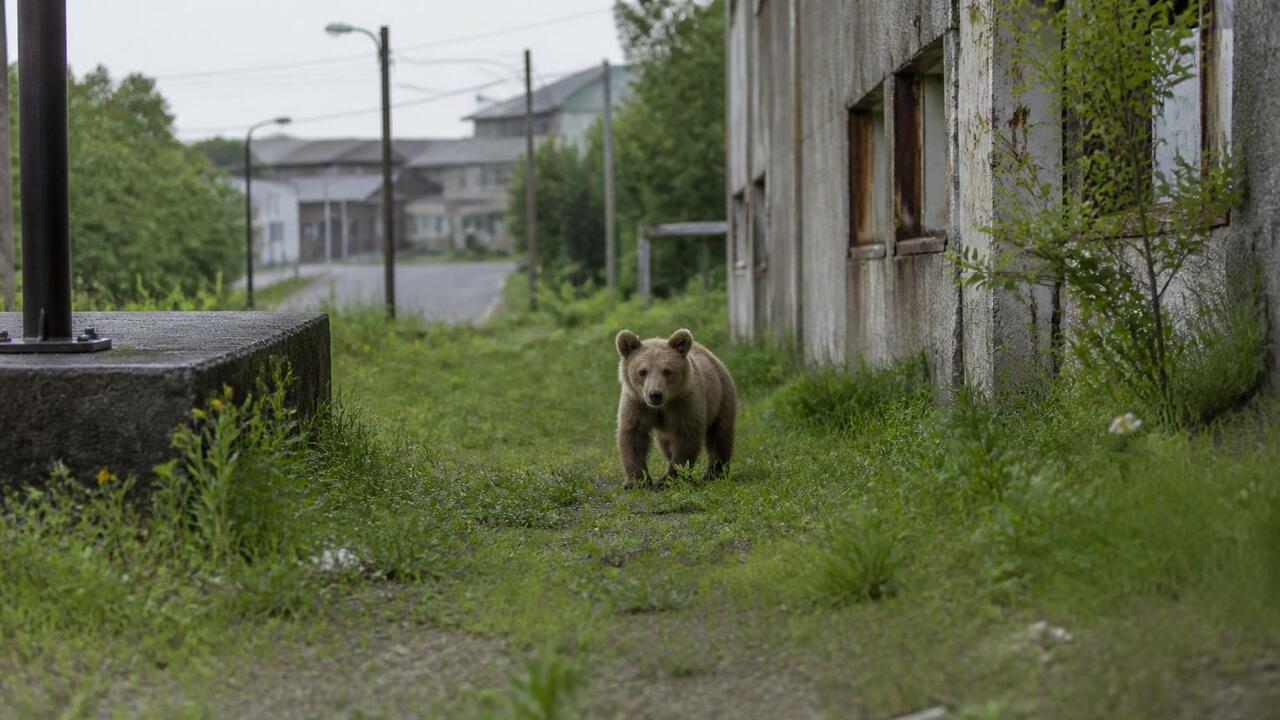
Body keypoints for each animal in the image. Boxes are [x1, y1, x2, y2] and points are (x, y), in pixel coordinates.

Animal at [615, 328, 737, 488]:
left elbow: (686, 440)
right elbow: (632, 436)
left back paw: (714, 474)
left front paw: (666, 481)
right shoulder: (637, 404)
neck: (663, 405)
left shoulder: (684, 405)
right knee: (666, 443)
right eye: (642, 371)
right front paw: (636, 481)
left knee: (720, 435)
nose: (655, 394)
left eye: (667, 371)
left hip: (721, 398)